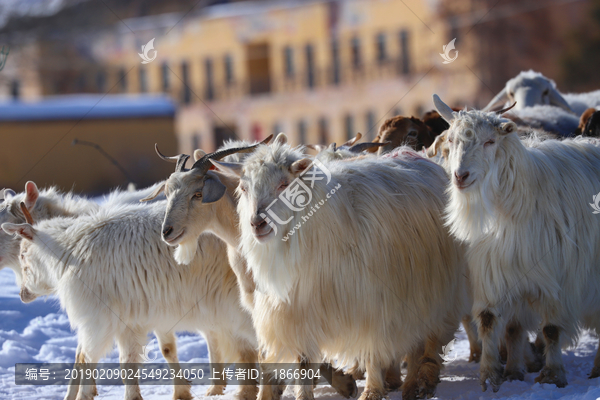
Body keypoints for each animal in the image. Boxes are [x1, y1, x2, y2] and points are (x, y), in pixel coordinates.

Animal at [2, 202, 256, 400]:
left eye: (23, 254)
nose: (22, 294)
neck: (71, 251)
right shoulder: (132, 319)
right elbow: (132, 361)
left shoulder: (98, 318)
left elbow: (86, 357)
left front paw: (85, 394)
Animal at [211, 135, 468, 400]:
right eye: (244, 188)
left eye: (284, 184)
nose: (257, 223)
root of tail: (413, 154)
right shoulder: (297, 312)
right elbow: (303, 363)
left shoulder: (375, 304)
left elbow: (374, 350)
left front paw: (372, 391)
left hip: (430, 290)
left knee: (423, 341)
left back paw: (417, 383)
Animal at [434, 93, 600, 390]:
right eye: (451, 140)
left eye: (489, 141)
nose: (460, 176)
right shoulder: (496, 272)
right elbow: (498, 324)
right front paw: (497, 374)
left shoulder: (556, 279)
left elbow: (551, 329)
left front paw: (553, 375)